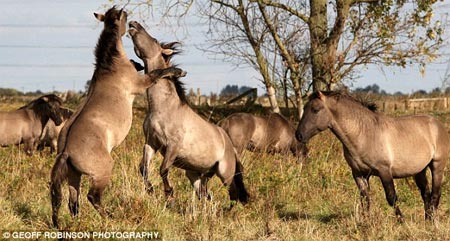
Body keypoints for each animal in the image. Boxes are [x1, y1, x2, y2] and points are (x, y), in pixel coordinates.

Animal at [50, 5, 187, 228]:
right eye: (123, 17)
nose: (134, 23)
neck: (110, 66)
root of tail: (66, 151)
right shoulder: (140, 84)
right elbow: (157, 73)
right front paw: (178, 71)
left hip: (74, 175)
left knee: (72, 202)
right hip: (102, 173)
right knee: (92, 196)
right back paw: (111, 217)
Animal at [128, 20, 250, 204]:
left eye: (154, 40)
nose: (133, 23)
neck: (163, 109)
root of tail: (231, 146)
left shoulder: (172, 147)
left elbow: (163, 169)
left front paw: (169, 194)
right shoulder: (151, 143)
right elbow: (143, 168)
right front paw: (150, 190)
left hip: (224, 173)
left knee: (233, 194)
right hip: (197, 174)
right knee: (206, 195)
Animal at [296, 91, 450, 221]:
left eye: (315, 110)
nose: (299, 135)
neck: (364, 133)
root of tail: (437, 124)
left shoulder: (384, 171)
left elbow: (391, 197)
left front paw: (401, 220)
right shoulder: (359, 173)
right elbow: (365, 199)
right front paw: (366, 222)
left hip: (437, 166)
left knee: (435, 195)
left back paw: (433, 222)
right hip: (419, 171)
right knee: (426, 194)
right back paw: (427, 220)